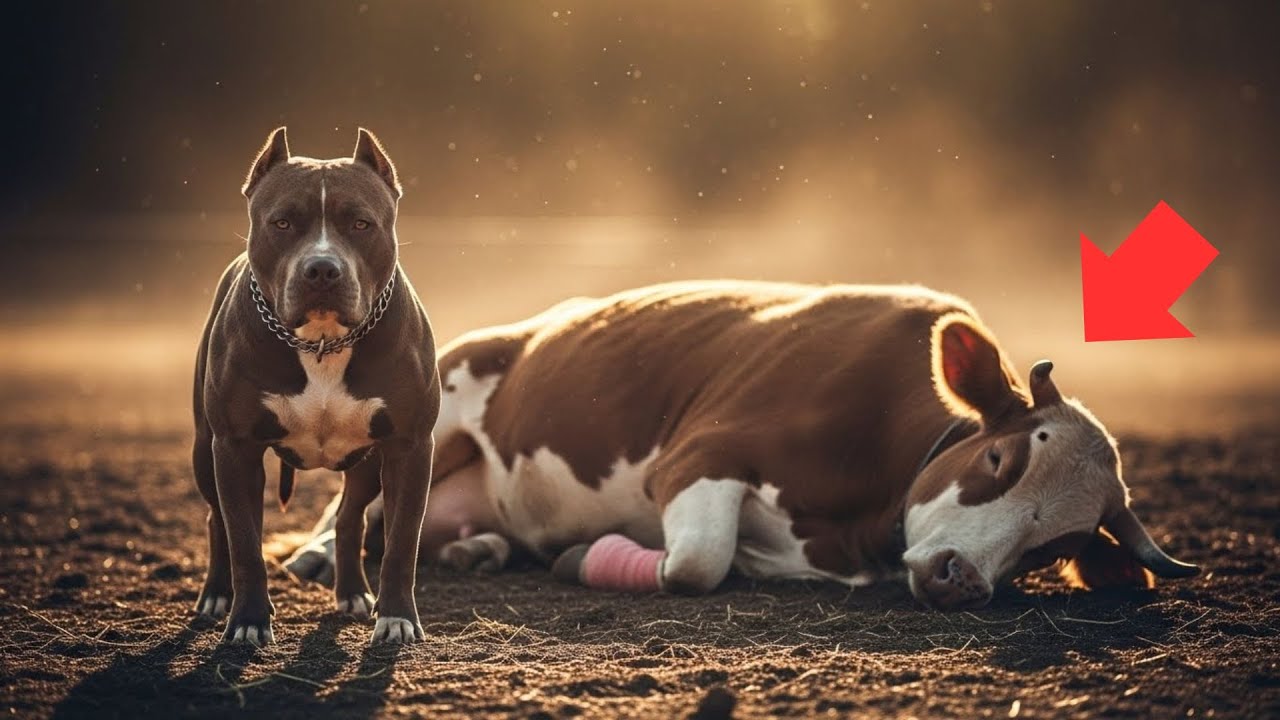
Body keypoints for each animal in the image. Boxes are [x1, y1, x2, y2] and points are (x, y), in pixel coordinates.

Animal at [284, 281, 1198, 610]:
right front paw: (588, 560)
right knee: (358, 498)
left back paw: (476, 550)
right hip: (432, 406)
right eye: (1000, 459)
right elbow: (697, 561)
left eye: (1059, 547)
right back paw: (320, 555)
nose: (958, 577)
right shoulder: (701, 454)